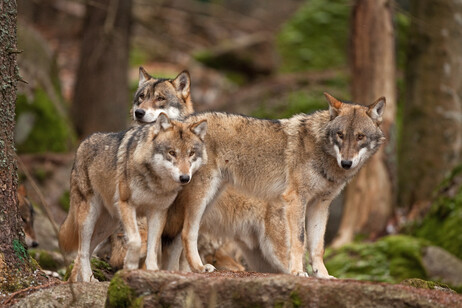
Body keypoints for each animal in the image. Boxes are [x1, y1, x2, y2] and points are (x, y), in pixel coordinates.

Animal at [58, 113, 208, 282]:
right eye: (172, 153)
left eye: (191, 153)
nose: (185, 178)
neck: (155, 184)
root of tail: (83, 142)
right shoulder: (127, 204)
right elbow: (135, 241)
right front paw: (129, 265)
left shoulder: (158, 212)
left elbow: (152, 248)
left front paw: (153, 271)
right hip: (89, 219)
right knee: (82, 250)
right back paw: (87, 280)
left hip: (108, 226)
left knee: (85, 251)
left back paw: (78, 280)